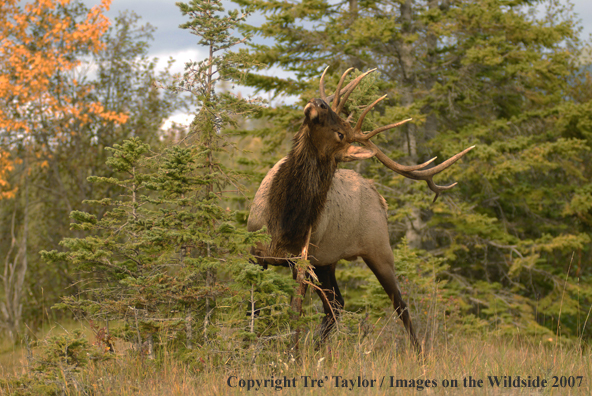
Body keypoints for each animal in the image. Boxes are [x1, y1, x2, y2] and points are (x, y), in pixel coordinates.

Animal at [247, 67, 474, 350]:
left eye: (341, 134)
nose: (319, 103)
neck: (284, 222)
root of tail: (379, 196)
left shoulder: (302, 259)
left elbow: (295, 312)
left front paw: (291, 354)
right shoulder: (255, 251)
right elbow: (253, 309)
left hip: (379, 249)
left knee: (400, 305)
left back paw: (418, 352)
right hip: (327, 261)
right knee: (336, 304)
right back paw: (318, 347)